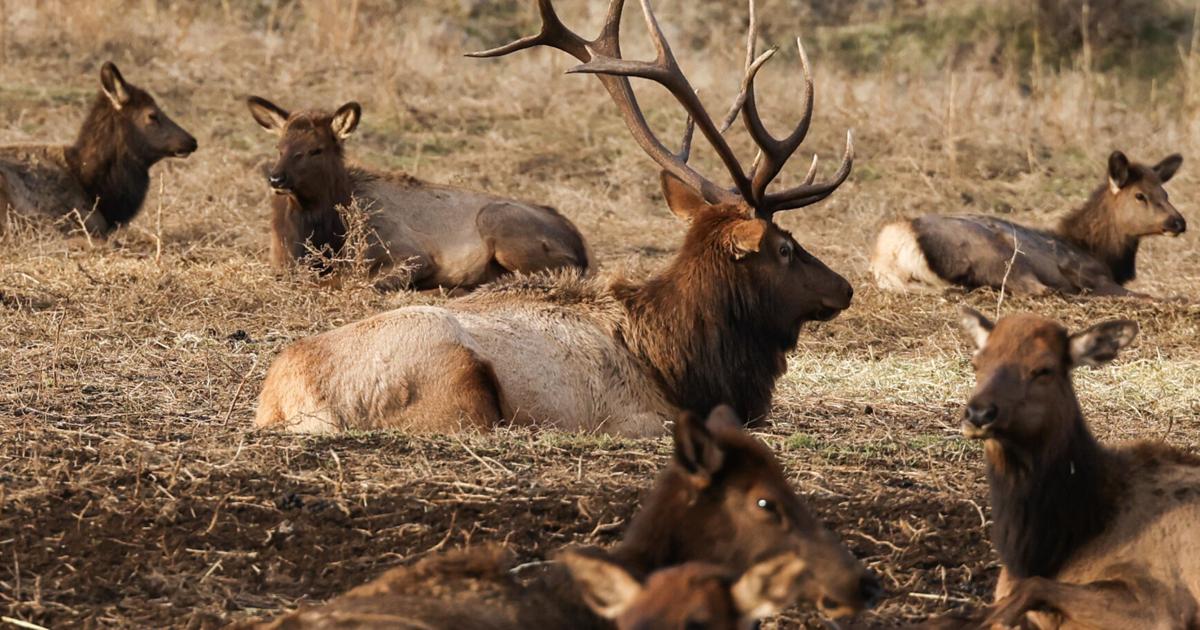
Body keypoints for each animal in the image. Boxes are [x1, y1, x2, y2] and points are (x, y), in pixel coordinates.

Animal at [245, 97, 589, 291]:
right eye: (279, 146)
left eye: (316, 149)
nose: (276, 177)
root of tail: (581, 245)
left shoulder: (413, 253)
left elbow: (358, 282)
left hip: (499, 221)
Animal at [872, 151, 1186, 298]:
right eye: (1140, 195)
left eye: (1165, 192)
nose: (1179, 222)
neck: (1101, 252)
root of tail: (897, 247)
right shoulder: (1091, 275)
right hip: (997, 254)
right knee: (1037, 288)